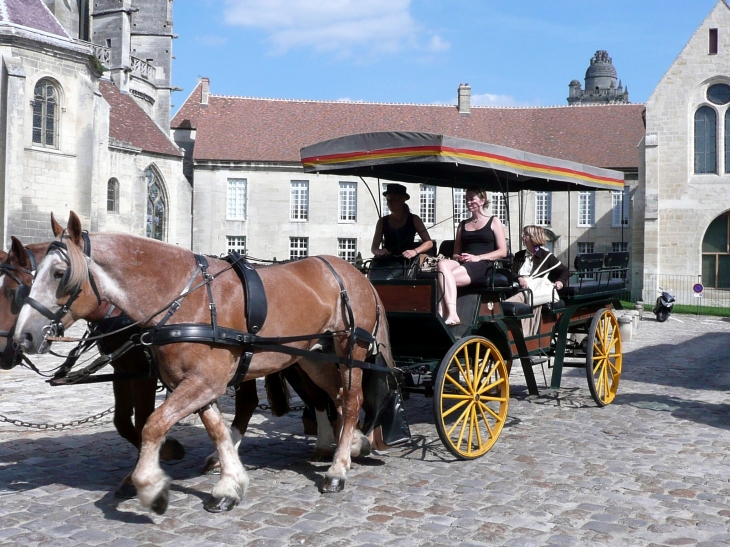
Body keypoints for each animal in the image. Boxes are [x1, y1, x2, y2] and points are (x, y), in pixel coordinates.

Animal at [14, 213, 390, 512]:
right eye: (31, 277)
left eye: (59, 273)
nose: (24, 337)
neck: (183, 298)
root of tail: (354, 273)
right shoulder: (196, 382)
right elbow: (217, 429)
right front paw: (229, 484)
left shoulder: (202, 382)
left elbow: (152, 424)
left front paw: (151, 487)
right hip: (314, 358)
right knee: (338, 397)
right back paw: (352, 443)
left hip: (349, 351)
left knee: (352, 400)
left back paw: (338, 469)